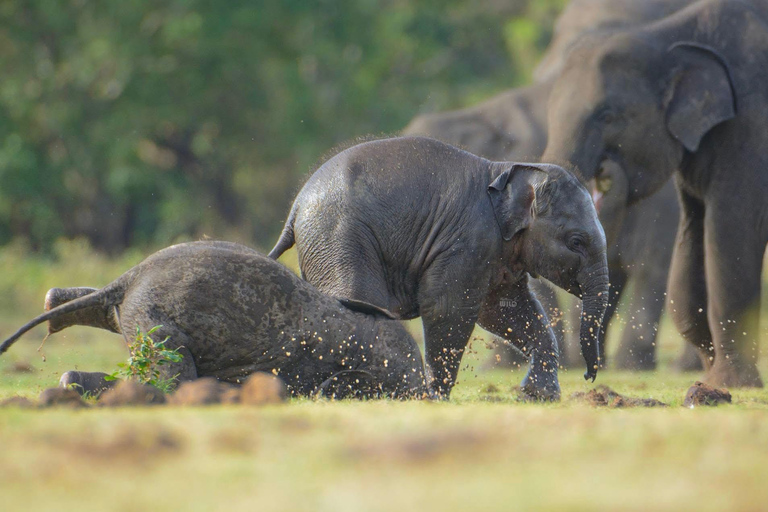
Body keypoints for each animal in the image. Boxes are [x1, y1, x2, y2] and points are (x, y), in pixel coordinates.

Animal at [269, 136, 609, 399]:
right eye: (576, 242)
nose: (589, 376)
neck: (506, 169)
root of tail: (295, 208)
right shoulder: (467, 241)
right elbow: (448, 307)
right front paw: (434, 396)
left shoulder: (497, 253)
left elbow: (505, 311)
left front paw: (538, 396)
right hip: (338, 238)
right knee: (357, 302)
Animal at [542, 0, 768, 387]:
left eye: (607, 115)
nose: (605, 172)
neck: (668, 38)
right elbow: (690, 244)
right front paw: (709, 377)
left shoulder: (751, 125)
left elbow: (731, 232)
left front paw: (730, 383)